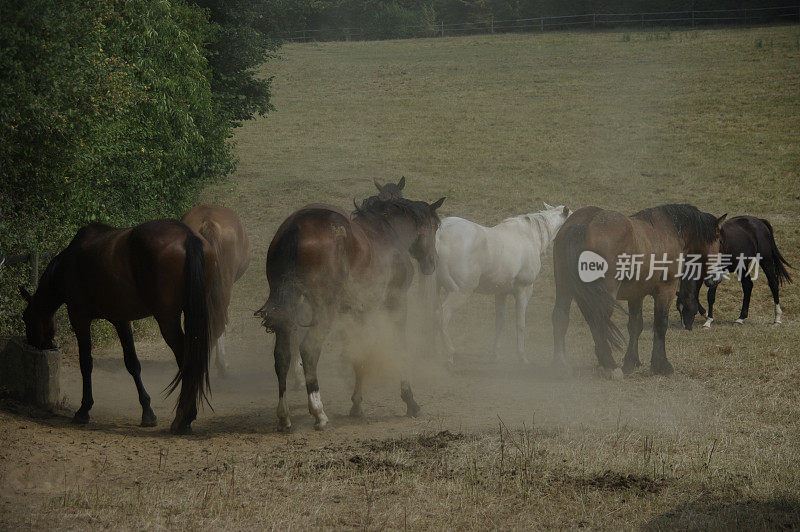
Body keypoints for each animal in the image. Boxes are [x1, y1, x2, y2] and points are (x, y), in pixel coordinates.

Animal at [21, 219, 216, 432]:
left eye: (25, 318)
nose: (39, 344)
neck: (66, 265)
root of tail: (186, 235)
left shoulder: (79, 318)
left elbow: (86, 362)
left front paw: (84, 409)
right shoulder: (121, 320)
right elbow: (132, 364)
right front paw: (147, 412)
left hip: (168, 320)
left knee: (186, 357)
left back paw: (183, 418)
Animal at [256, 195, 444, 432]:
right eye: (434, 227)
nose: (433, 261)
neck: (388, 231)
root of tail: (296, 227)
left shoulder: (359, 310)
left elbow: (359, 354)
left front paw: (357, 404)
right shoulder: (397, 301)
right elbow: (400, 347)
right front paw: (410, 399)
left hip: (288, 309)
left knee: (282, 355)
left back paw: (284, 416)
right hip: (323, 309)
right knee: (309, 350)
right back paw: (319, 412)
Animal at [434, 202, 572, 364]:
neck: (529, 236)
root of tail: (440, 236)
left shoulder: (501, 293)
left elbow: (500, 322)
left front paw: (496, 354)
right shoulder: (523, 291)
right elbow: (520, 324)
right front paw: (522, 356)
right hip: (460, 293)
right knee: (442, 316)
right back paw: (449, 354)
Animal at [552, 203, 724, 374]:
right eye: (719, 241)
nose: (717, 278)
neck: (669, 230)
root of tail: (582, 224)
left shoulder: (636, 295)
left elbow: (635, 326)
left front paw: (631, 360)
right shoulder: (665, 291)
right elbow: (660, 324)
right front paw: (661, 364)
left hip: (564, 288)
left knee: (561, 317)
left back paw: (562, 363)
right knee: (599, 320)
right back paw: (609, 363)